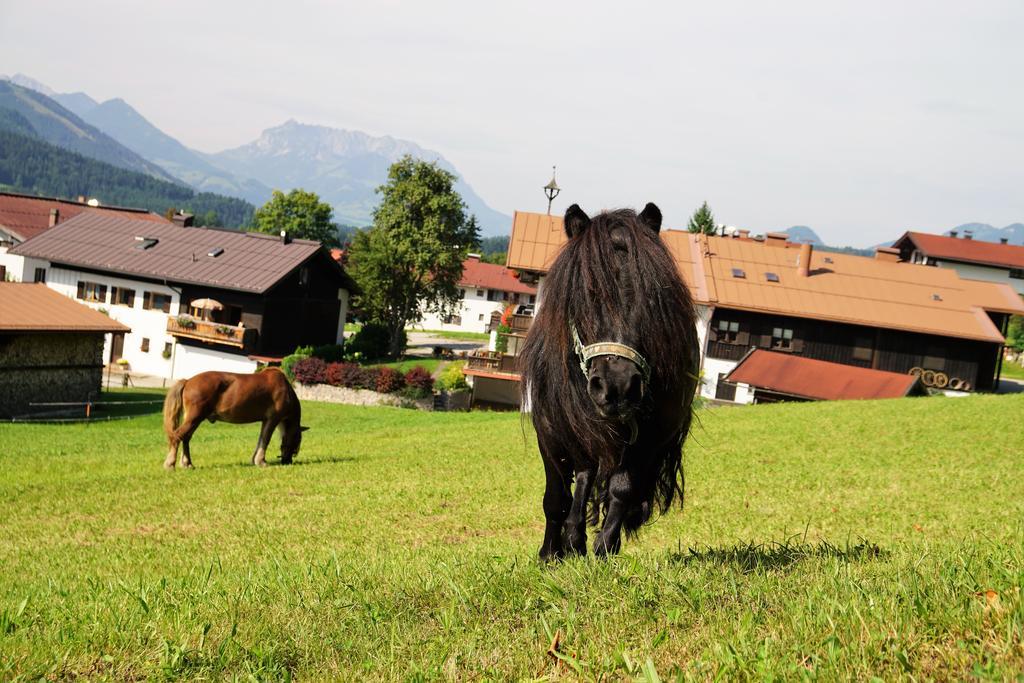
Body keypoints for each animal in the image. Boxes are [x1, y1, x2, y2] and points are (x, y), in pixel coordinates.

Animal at [161, 368, 307, 471]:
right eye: (297, 441)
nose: (287, 461)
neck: (285, 389)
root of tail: (188, 381)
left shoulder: (265, 421)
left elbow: (261, 439)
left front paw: (255, 460)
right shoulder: (272, 419)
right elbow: (265, 440)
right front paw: (261, 461)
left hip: (193, 419)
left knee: (185, 438)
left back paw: (187, 464)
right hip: (194, 418)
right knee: (177, 436)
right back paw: (170, 464)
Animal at [524, 204, 700, 561]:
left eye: (651, 299)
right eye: (585, 296)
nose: (617, 386)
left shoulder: (649, 438)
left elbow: (622, 488)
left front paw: (605, 546)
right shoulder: (548, 431)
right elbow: (557, 497)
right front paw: (551, 553)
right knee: (583, 473)